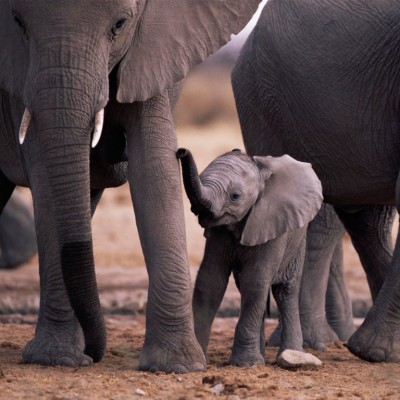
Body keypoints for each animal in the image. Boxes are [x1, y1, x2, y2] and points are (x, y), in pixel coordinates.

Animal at [0, 0, 260, 372]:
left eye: (120, 24)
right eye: (18, 23)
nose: (94, 354)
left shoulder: (152, 52)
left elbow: (155, 170)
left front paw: (176, 366)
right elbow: (45, 171)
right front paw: (54, 360)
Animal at [177, 148, 324, 368]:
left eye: (235, 196)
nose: (181, 151)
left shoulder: (271, 222)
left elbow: (255, 281)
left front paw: (246, 364)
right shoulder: (219, 233)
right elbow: (210, 282)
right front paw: (201, 359)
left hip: (298, 241)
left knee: (285, 291)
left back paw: (290, 354)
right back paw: (261, 355)